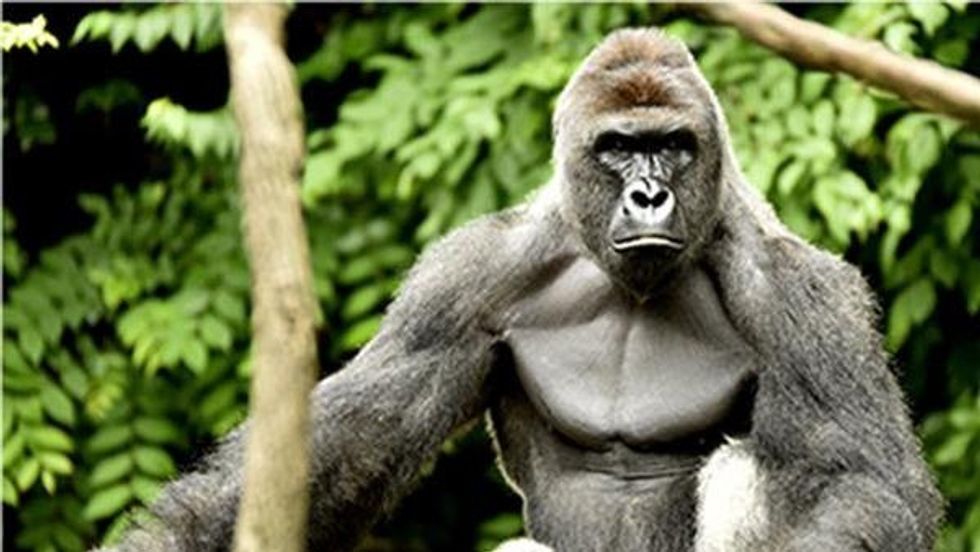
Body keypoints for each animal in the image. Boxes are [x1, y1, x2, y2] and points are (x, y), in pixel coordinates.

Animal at [106, 28, 942, 552]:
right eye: (619, 147)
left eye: (673, 145)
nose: (648, 195)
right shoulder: (461, 282)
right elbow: (347, 449)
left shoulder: (807, 298)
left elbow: (859, 484)